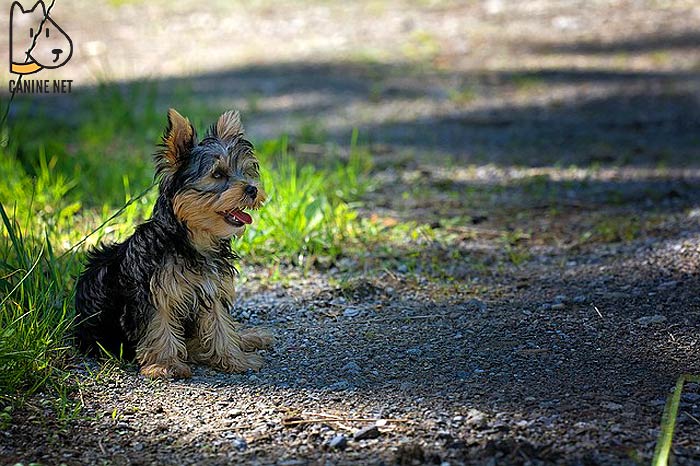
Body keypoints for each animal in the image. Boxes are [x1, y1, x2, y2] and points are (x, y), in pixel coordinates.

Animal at [76, 108, 274, 378]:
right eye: (217, 174)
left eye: (244, 172)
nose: (252, 189)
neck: (192, 239)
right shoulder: (154, 294)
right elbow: (159, 325)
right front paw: (165, 364)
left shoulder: (212, 288)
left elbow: (220, 323)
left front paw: (234, 358)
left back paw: (246, 337)